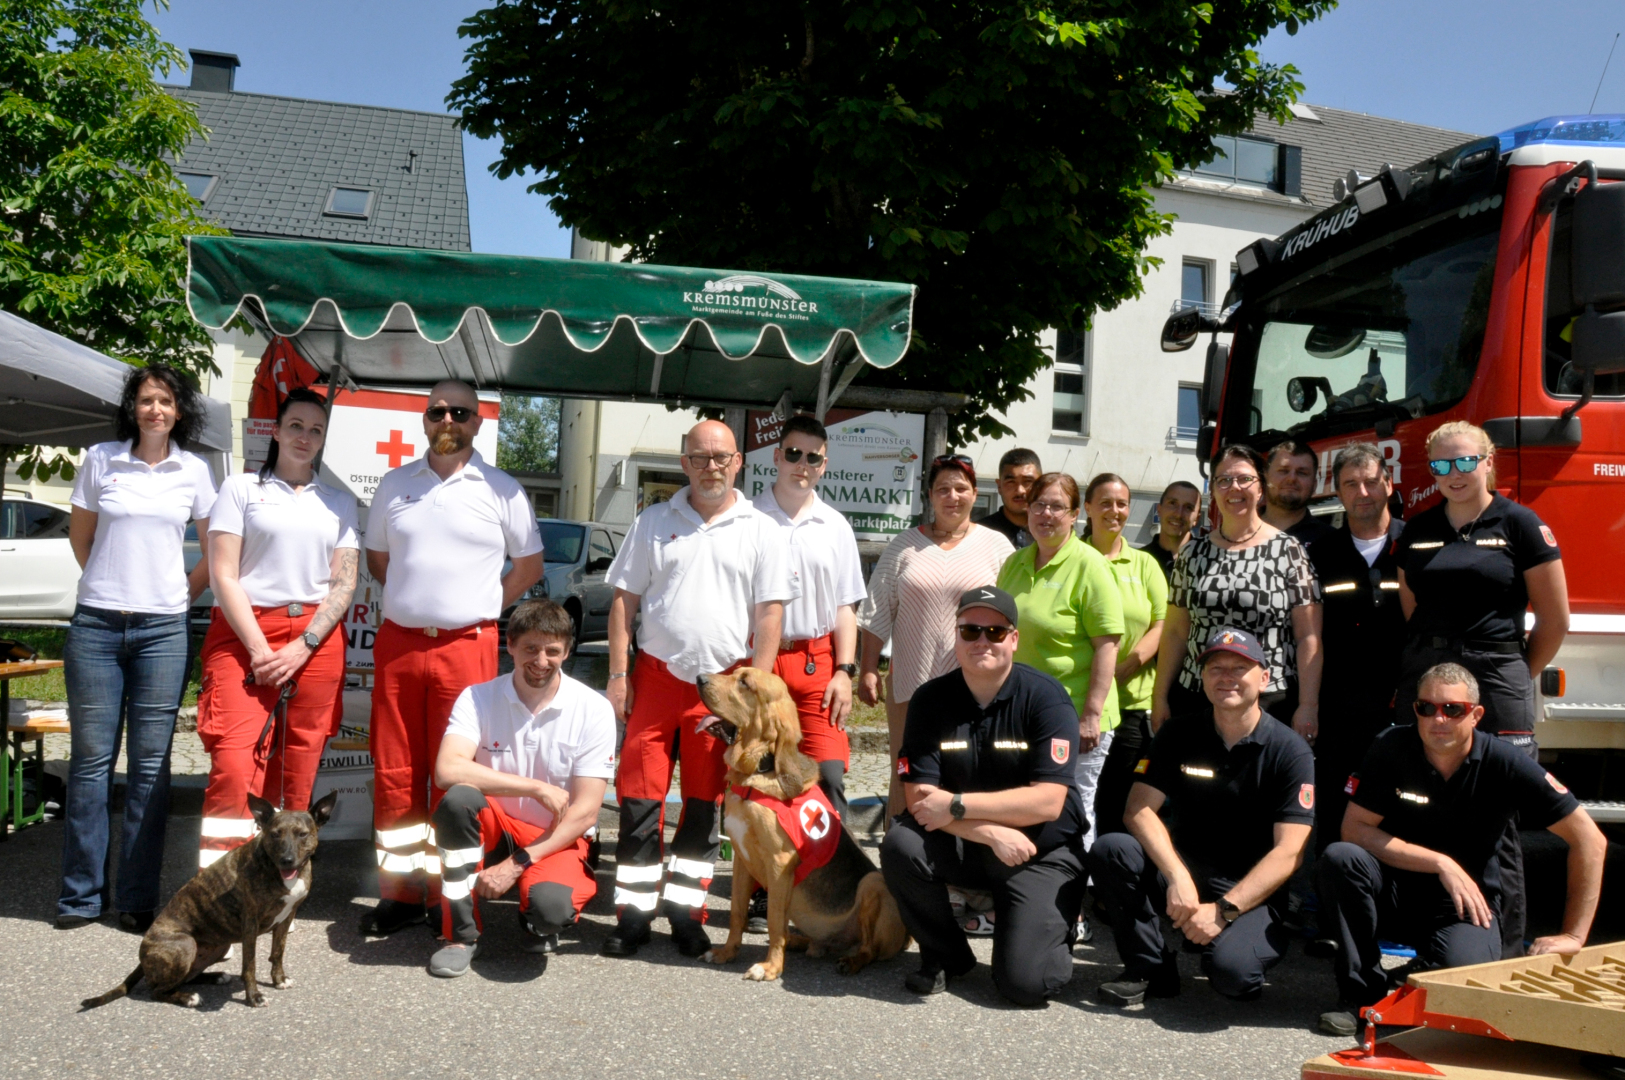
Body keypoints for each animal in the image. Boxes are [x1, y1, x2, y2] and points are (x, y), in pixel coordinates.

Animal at [82, 791, 338, 1009]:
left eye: (302, 834)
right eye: (274, 834)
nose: (287, 860)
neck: (276, 870)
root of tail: (143, 957)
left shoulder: (286, 917)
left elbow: (277, 953)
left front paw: (279, 979)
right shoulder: (250, 923)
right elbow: (250, 965)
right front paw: (254, 997)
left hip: (217, 945)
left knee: (184, 978)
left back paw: (215, 977)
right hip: (185, 944)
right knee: (157, 990)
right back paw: (188, 998)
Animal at [695, 668, 908, 982]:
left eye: (745, 683)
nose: (699, 678)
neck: (760, 770)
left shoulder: (778, 865)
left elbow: (773, 921)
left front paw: (770, 968)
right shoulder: (742, 862)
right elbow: (737, 913)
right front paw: (727, 953)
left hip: (873, 883)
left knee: (868, 950)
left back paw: (850, 961)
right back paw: (800, 942)